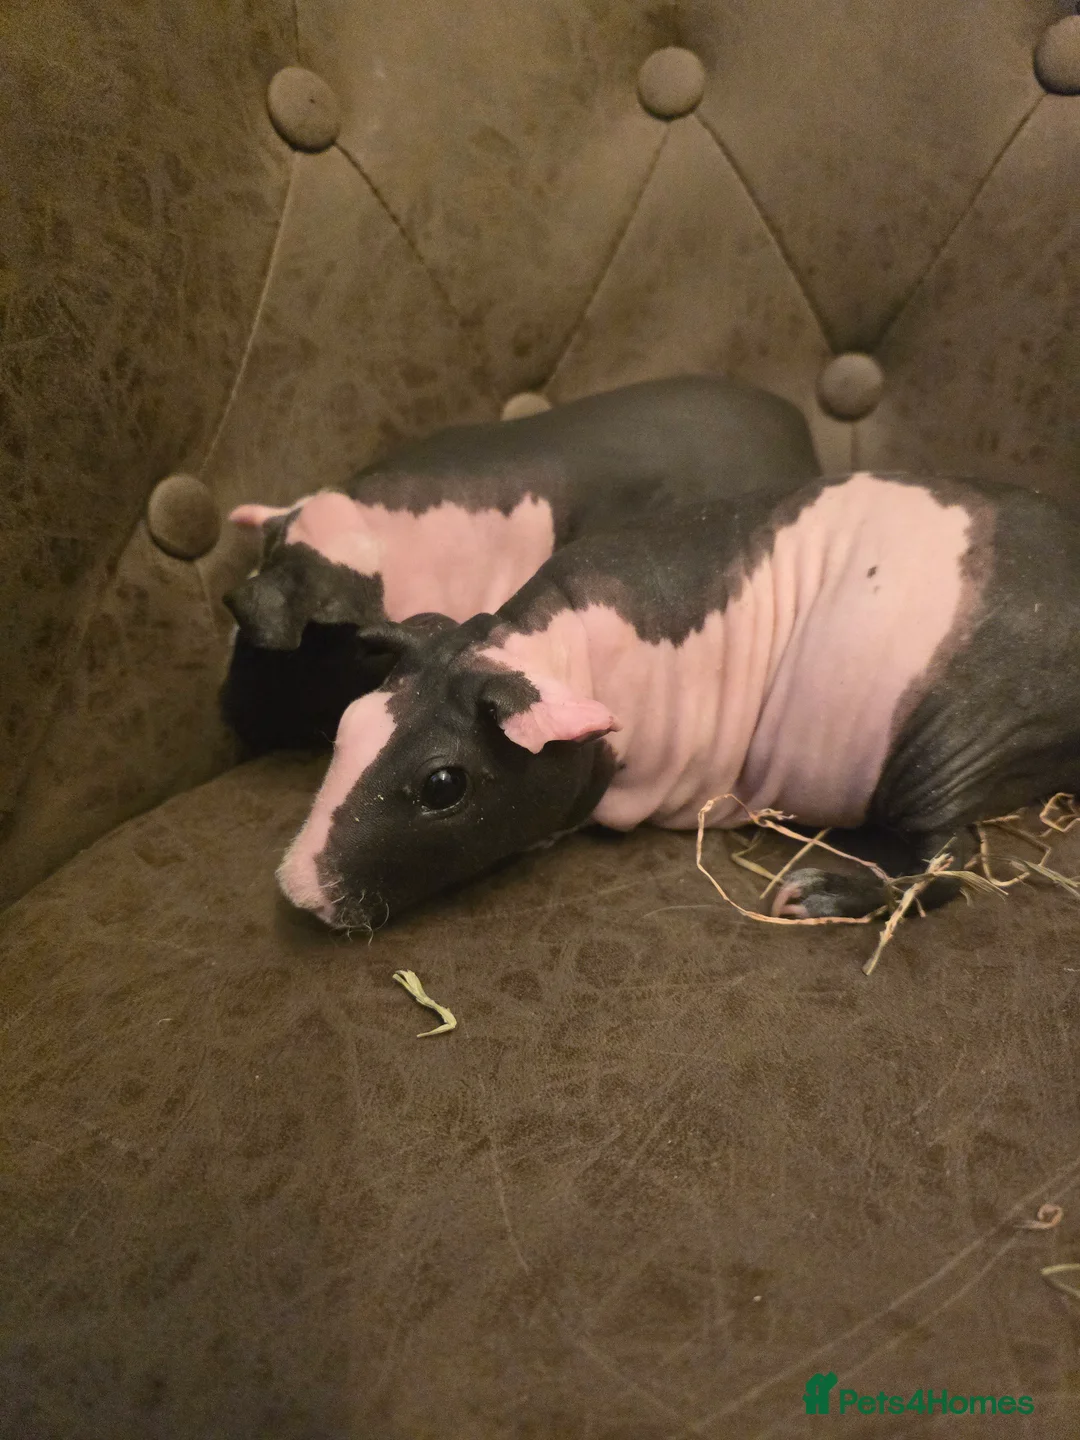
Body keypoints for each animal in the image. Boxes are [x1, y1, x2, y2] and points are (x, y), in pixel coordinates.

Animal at [276, 470, 1080, 931]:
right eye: (349, 722)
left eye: (444, 785)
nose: (295, 891)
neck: (556, 646)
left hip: (952, 738)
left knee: (953, 858)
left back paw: (816, 894)